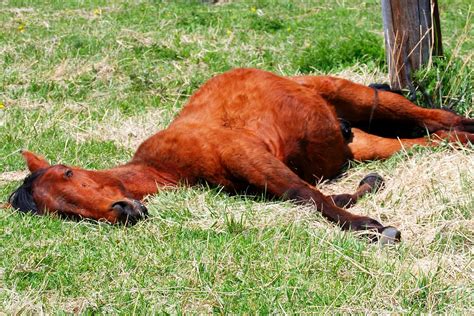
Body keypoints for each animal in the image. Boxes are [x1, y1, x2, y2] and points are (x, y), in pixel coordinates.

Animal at [8, 68, 474, 243]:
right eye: (64, 213)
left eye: (68, 172)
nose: (124, 210)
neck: (166, 164)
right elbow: (314, 196)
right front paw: (366, 196)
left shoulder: (252, 156)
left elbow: (308, 198)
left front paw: (370, 228)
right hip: (368, 142)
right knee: (437, 138)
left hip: (364, 99)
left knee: (444, 118)